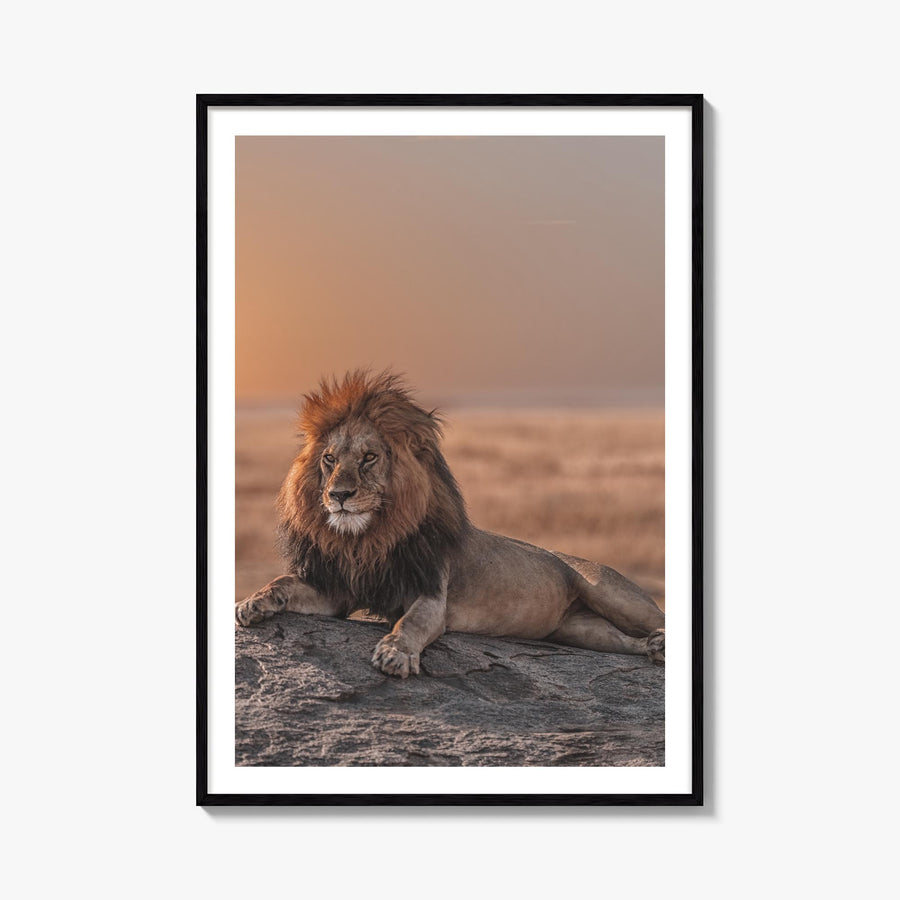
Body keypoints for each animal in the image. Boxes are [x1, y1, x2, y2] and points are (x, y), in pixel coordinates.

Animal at [235, 370, 665, 677]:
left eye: (369, 457)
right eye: (329, 459)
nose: (339, 495)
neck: (367, 539)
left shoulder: (429, 595)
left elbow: (408, 624)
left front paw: (395, 654)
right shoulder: (339, 590)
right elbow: (284, 583)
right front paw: (252, 602)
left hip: (610, 592)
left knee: (652, 618)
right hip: (579, 629)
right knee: (622, 641)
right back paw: (653, 649)